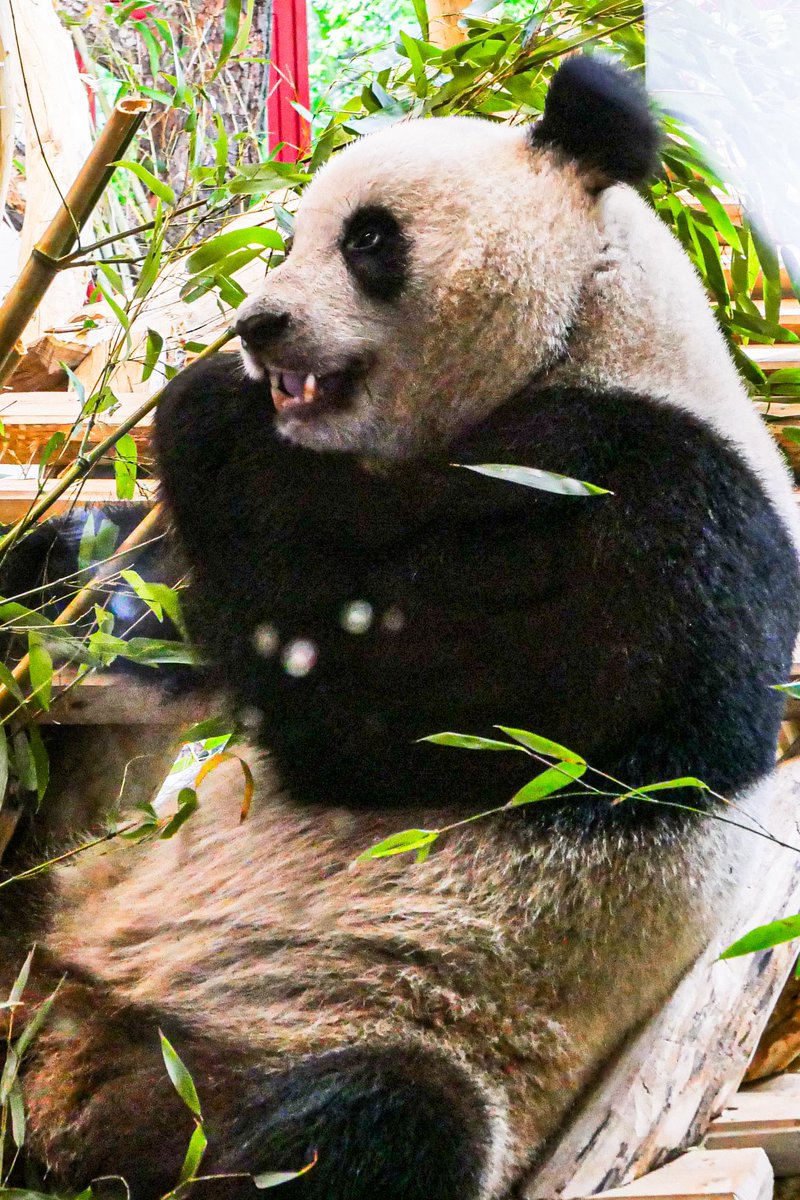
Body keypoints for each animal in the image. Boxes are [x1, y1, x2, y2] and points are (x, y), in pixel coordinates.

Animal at [3, 55, 800, 1200]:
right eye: (291, 233)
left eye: (369, 239)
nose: (256, 327)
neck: (584, 335)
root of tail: (58, 1057)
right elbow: (170, 618)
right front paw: (61, 569)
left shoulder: (661, 519)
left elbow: (388, 691)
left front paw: (204, 406)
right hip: (78, 912)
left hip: (362, 1024)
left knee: (371, 1121)